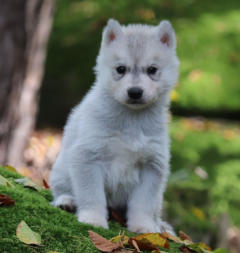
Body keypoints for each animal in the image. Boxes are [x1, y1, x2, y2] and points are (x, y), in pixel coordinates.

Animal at [49, 18, 179, 234]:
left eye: (152, 70)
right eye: (121, 69)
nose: (135, 92)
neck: (132, 120)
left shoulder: (152, 165)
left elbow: (143, 204)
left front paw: (144, 227)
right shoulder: (88, 157)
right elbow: (92, 195)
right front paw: (93, 219)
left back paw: (160, 225)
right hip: (61, 171)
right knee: (61, 190)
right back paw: (67, 201)